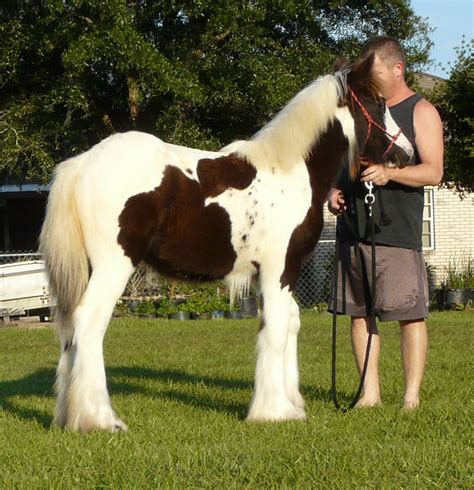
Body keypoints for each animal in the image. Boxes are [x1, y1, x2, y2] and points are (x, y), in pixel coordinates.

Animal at [39, 53, 412, 430]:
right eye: (378, 103)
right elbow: (276, 329)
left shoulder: (275, 275)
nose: (407, 153)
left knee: (70, 330)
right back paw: (99, 419)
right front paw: (273, 411)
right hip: (114, 266)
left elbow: (289, 322)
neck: (290, 170)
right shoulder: (279, 271)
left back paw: (69, 416)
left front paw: (292, 403)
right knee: (89, 322)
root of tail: (82, 163)